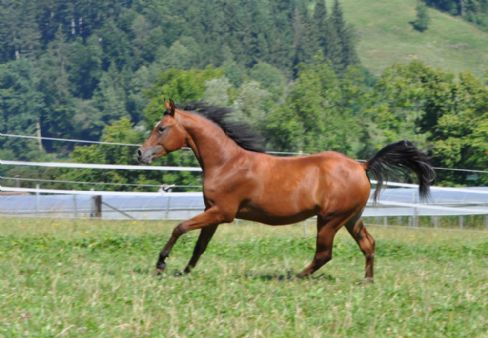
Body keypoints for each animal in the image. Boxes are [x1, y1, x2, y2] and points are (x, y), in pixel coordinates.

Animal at [136, 99, 434, 280]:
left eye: (161, 128)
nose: (140, 153)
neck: (226, 162)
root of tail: (362, 166)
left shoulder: (222, 212)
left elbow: (180, 227)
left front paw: (161, 265)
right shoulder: (213, 212)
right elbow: (200, 245)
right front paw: (184, 272)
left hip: (330, 220)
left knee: (324, 253)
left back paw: (294, 277)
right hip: (351, 219)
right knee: (368, 245)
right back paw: (367, 281)